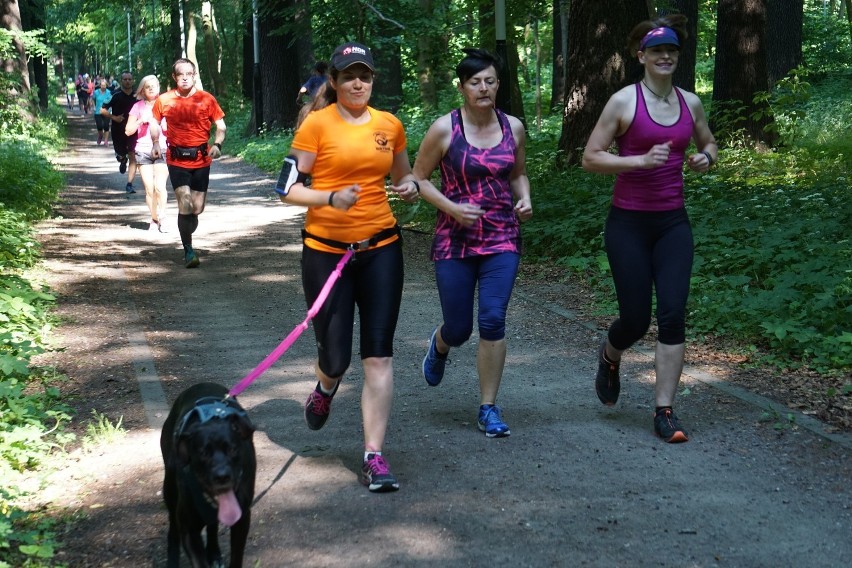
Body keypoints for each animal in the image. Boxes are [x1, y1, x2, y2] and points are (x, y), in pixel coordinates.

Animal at [158, 384, 255, 564]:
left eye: (233, 449)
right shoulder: (189, 531)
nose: (222, 476)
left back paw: (214, 552)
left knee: (212, 526)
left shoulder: (242, 520)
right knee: (173, 529)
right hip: (170, 490)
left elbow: (236, 557)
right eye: (202, 453)